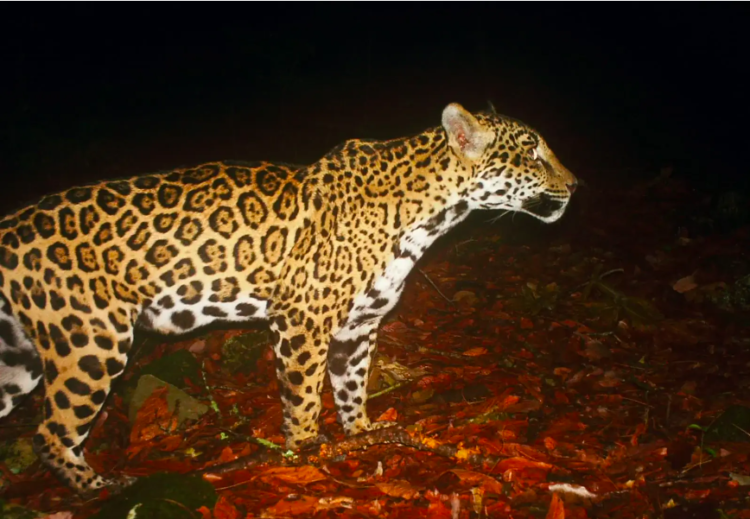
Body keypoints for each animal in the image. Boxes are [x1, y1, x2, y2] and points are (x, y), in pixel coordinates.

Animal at [0, 103, 576, 493]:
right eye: (532, 152)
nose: (575, 184)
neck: (432, 213)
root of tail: (11, 225)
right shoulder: (304, 321)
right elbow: (303, 395)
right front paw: (304, 455)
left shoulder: (357, 326)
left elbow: (351, 389)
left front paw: (363, 437)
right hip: (89, 343)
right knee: (51, 432)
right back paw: (100, 489)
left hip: (19, 354)